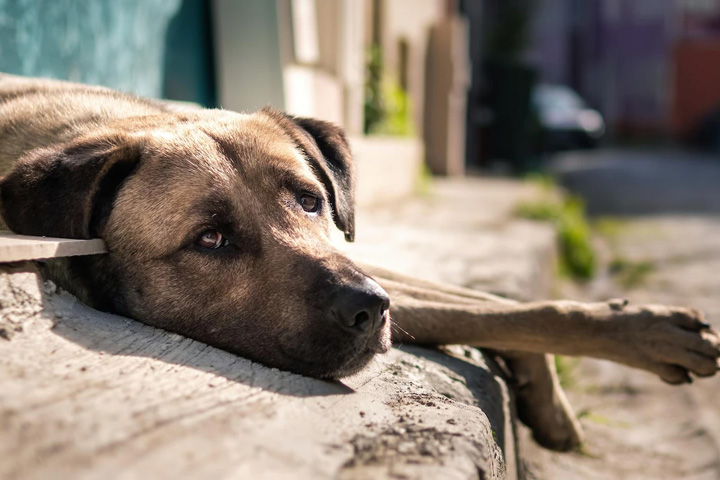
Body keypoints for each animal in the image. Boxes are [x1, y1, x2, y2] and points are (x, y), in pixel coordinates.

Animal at [1, 73, 720, 452]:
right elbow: (491, 310)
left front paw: (623, 341)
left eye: (310, 199)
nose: (370, 310)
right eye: (210, 239)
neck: (90, 127)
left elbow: (500, 306)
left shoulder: (362, 260)